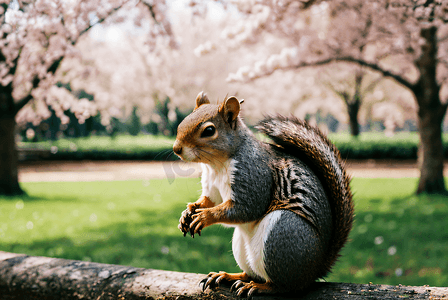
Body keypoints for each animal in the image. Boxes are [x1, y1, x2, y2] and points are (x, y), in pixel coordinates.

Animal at [172, 91, 354, 298]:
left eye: (209, 130)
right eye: (183, 121)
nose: (176, 149)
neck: (216, 164)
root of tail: (314, 271)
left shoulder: (254, 176)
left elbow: (246, 209)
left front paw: (204, 216)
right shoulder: (212, 186)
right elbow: (209, 200)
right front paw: (188, 211)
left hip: (283, 233)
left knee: (284, 286)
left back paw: (259, 287)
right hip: (242, 246)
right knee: (251, 273)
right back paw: (228, 276)